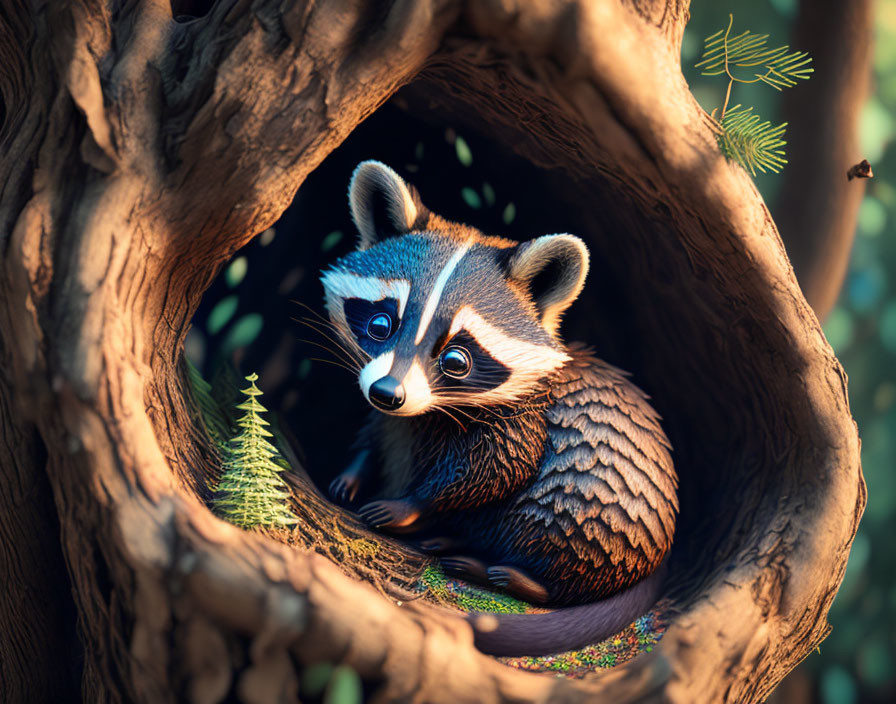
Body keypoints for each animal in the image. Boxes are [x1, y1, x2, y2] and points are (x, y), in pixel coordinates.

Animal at [318, 160, 676, 656]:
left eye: (456, 360)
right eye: (380, 324)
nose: (388, 393)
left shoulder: (527, 417)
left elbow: (498, 468)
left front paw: (412, 503)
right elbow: (376, 433)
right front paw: (354, 470)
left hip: (598, 510)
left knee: (551, 530)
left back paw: (512, 572)